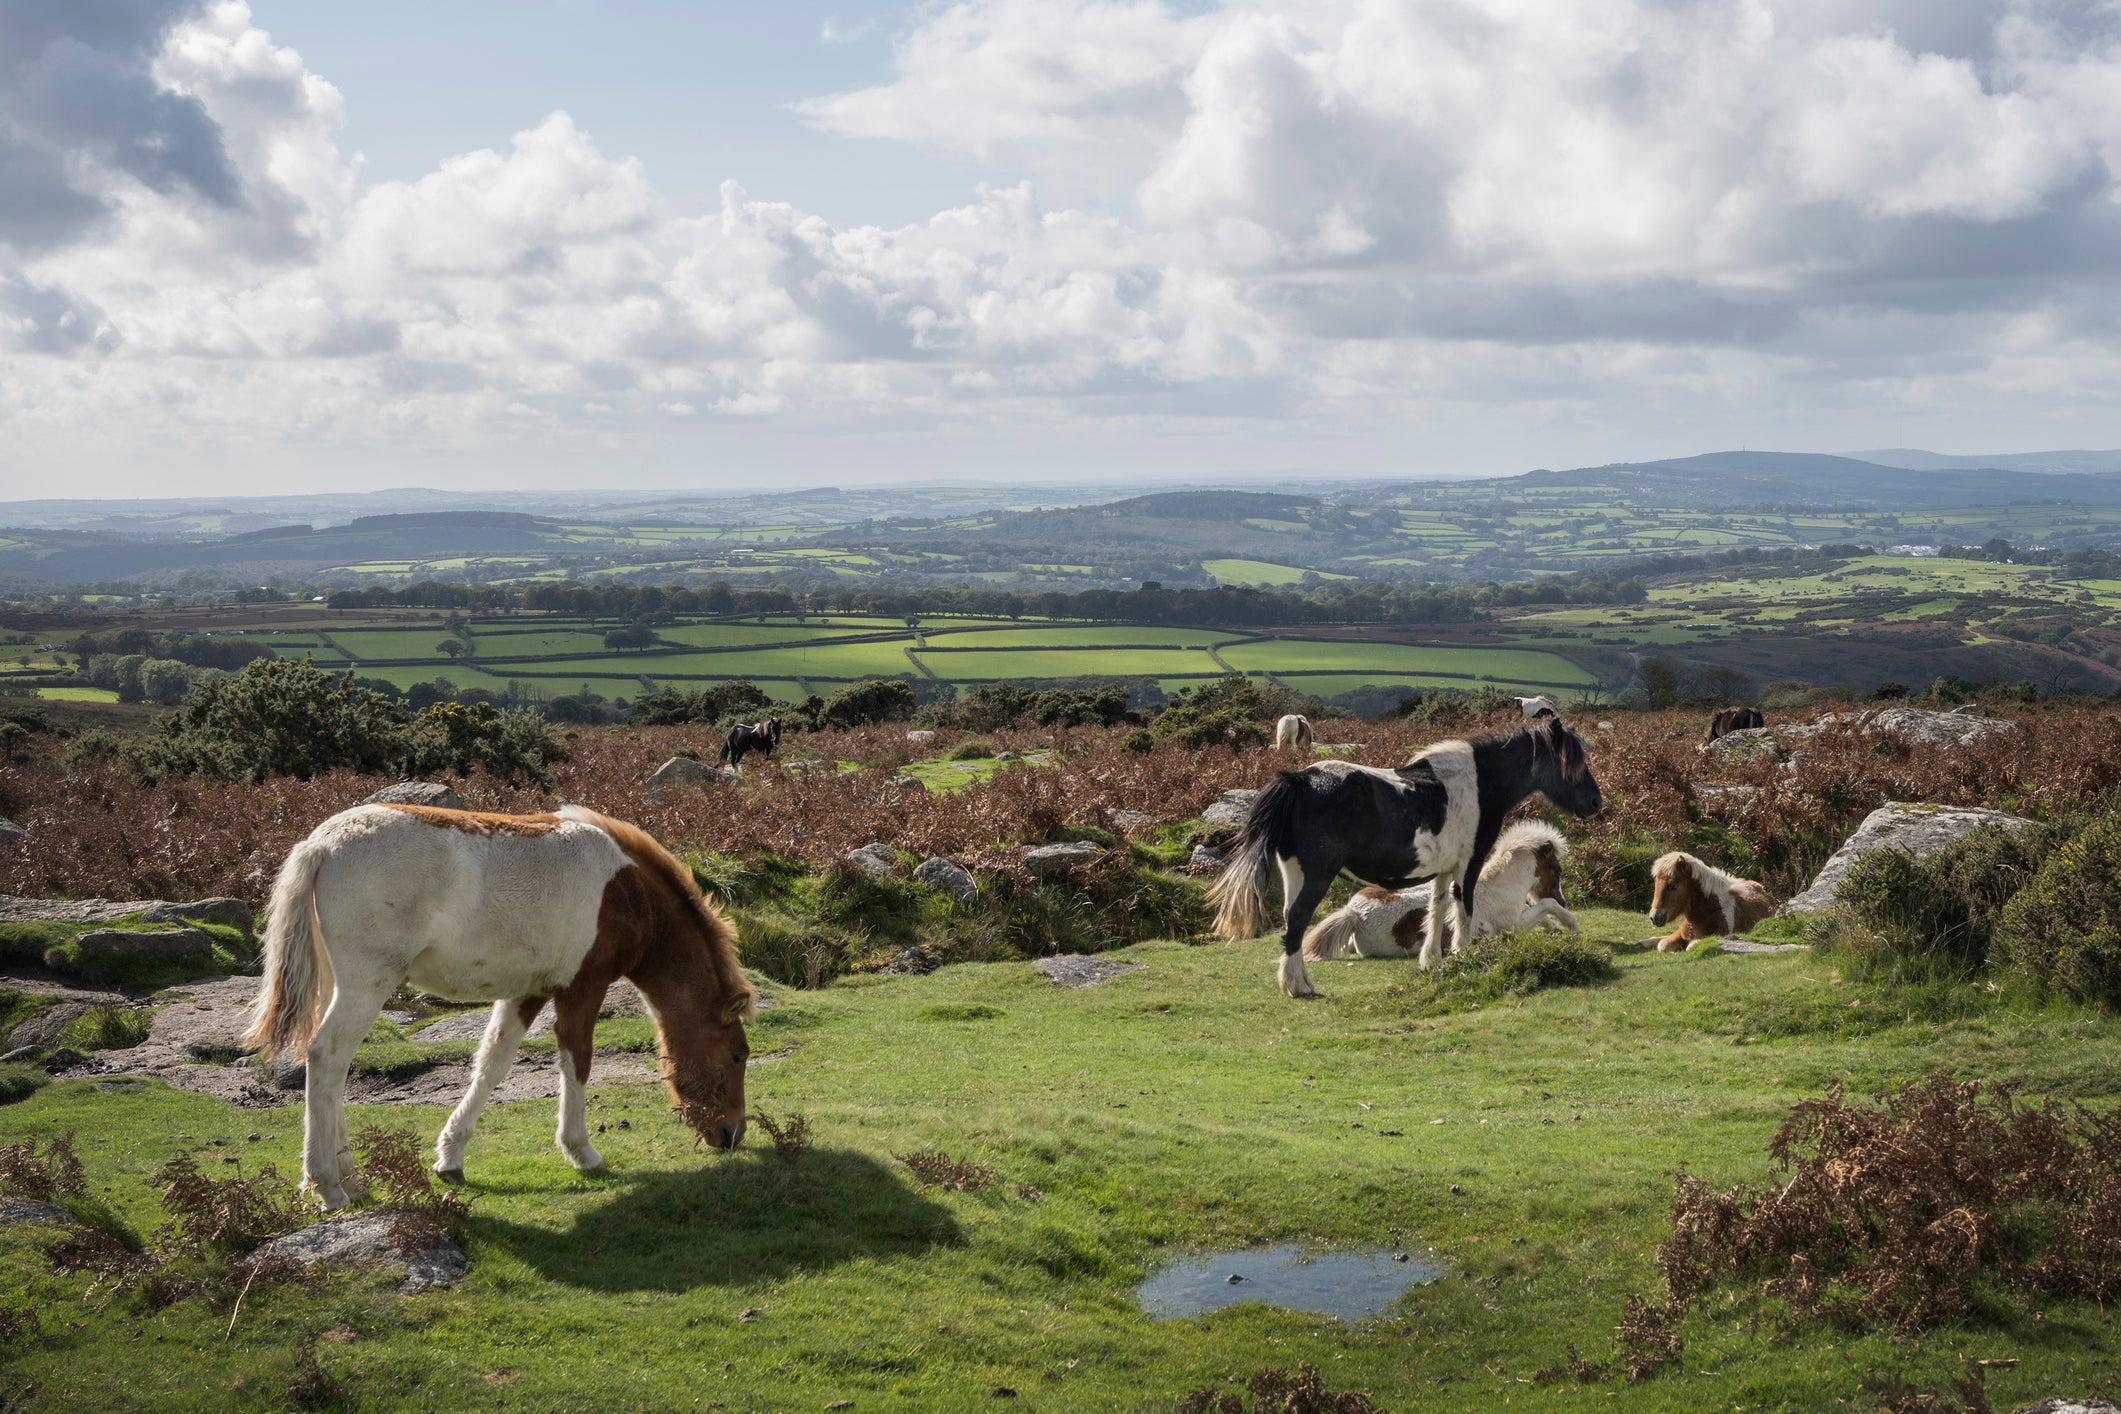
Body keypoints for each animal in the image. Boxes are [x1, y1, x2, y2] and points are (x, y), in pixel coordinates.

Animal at [245, 803, 755, 1209]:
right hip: (366, 985)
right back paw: (328, 1186)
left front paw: (451, 1157)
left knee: (334, 1073)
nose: (732, 1134)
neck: (627, 890)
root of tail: (321, 844)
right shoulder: (582, 987)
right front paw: (582, 1152)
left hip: (340, 986)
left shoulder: (528, 992)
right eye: (737, 1056)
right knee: (326, 1058)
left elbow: (492, 1064)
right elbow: (577, 1063)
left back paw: (352, 1180)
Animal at [1300, 821, 1578, 961]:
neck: (1499, 886)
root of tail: (1354, 914)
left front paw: (1555, 928)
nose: (1564, 900)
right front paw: (1571, 924)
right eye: (1557, 869)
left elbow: (1542, 913)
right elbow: (1545, 906)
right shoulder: (1515, 924)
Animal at [1646, 851, 1776, 951]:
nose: (1654, 917)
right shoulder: (1679, 934)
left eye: (1672, 886)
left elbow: (1689, 947)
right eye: (1656, 884)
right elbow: (1662, 945)